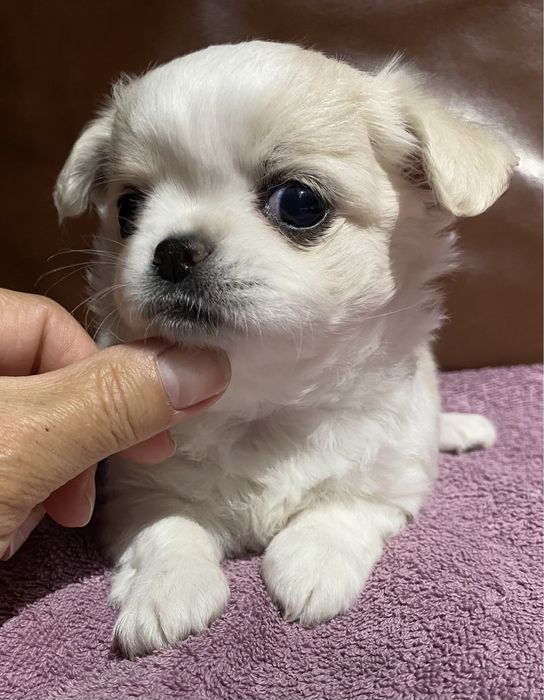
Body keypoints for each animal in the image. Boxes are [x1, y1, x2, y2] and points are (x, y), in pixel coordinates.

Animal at [54, 41, 515, 657]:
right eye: (128, 209)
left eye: (298, 202)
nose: (173, 250)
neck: (266, 401)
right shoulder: (135, 490)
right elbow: (167, 528)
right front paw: (165, 591)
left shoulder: (388, 482)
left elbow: (342, 508)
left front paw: (311, 566)